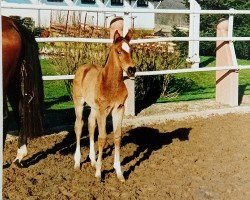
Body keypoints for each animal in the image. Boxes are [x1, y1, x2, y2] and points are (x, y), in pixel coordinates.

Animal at [72, 29, 135, 181]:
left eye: (131, 50)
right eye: (118, 51)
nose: (132, 70)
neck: (110, 83)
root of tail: (83, 67)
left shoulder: (119, 109)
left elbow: (117, 137)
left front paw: (119, 172)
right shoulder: (103, 110)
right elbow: (102, 138)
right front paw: (99, 173)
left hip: (94, 108)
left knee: (90, 124)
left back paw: (93, 160)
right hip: (79, 102)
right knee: (79, 126)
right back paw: (77, 162)